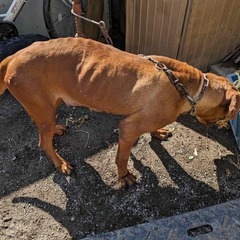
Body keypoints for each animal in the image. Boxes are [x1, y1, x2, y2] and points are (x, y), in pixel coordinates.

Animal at [0, 38, 240, 188]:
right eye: (226, 114)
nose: (220, 125)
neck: (184, 84)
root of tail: (14, 56)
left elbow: (152, 130)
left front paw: (158, 132)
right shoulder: (128, 129)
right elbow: (122, 158)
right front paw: (124, 177)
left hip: (49, 108)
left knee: (46, 131)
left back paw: (57, 130)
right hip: (40, 106)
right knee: (43, 142)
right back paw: (61, 164)